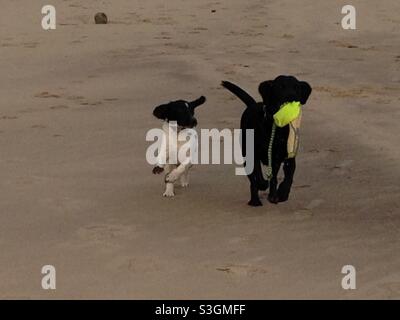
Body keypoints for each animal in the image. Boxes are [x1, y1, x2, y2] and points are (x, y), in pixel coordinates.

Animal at [222, 75, 312, 206]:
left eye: (296, 88)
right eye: (280, 87)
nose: (292, 96)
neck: (277, 129)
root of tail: (253, 104)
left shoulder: (288, 158)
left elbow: (288, 177)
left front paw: (282, 194)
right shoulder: (253, 155)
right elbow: (257, 175)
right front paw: (263, 185)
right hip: (246, 154)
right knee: (253, 180)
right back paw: (255, 200)